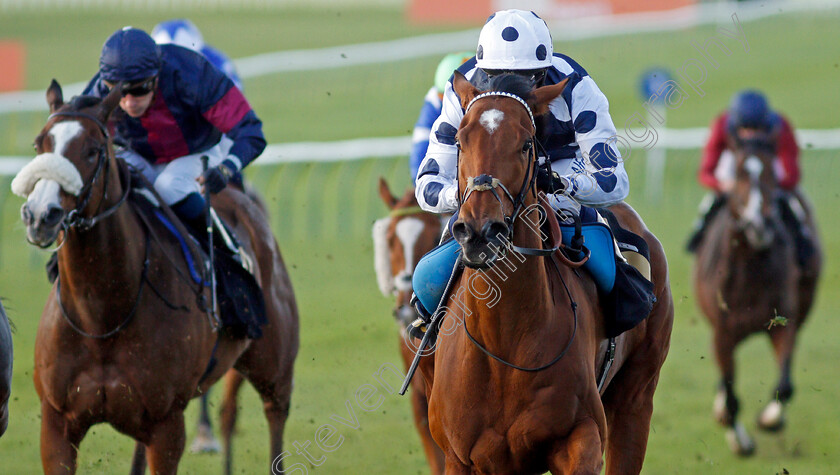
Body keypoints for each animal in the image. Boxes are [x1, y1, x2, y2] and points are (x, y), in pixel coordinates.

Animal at [13, 80, 298, 474]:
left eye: (92, 150)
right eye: (39, 143)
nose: (41, 215)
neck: (102, 316)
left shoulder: (167, 425)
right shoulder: (56, 424)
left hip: (273, 361)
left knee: (274, 415)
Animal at [420, 72, 676, 474]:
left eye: (527, 144)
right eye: (460, 139)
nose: (480, 231)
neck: (504, 346)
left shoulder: (581, 437)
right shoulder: (459, 456)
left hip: (637, 398)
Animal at [692, 133, 824, 454]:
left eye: (770, 174)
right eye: (740, 172)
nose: (758, 224)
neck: (750, 270)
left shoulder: (783, 322)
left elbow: (785, 384)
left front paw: (769, 419)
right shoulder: (723, 333)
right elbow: (730, 396)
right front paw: (740, 442)